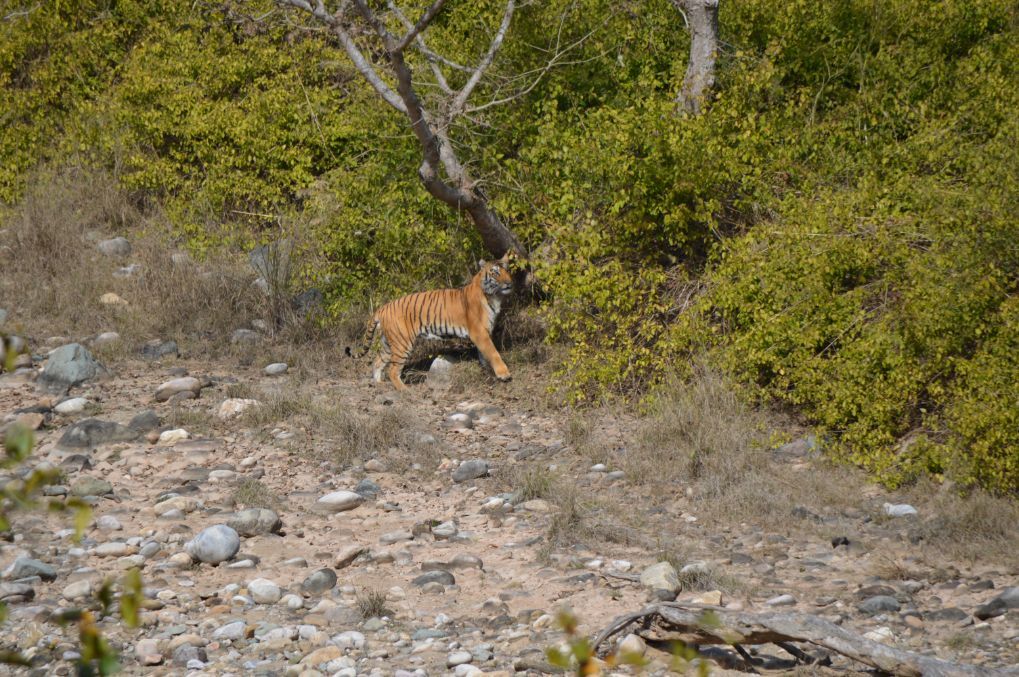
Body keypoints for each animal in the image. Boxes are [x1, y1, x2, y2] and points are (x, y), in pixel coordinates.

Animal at [346, 253, 515, 390]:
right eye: (495, 272)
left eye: (508, 271)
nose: (509, 283)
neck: (495, 296)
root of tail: (382, 308)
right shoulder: (479, 332)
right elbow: (493, 352)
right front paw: (504, 374)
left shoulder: (484, 332)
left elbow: (484, 355)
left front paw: (488, 373)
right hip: (403, 344)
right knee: (393, 370)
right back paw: (405, 390)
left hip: (389, 343)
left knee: (377, 361)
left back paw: (379, 384)